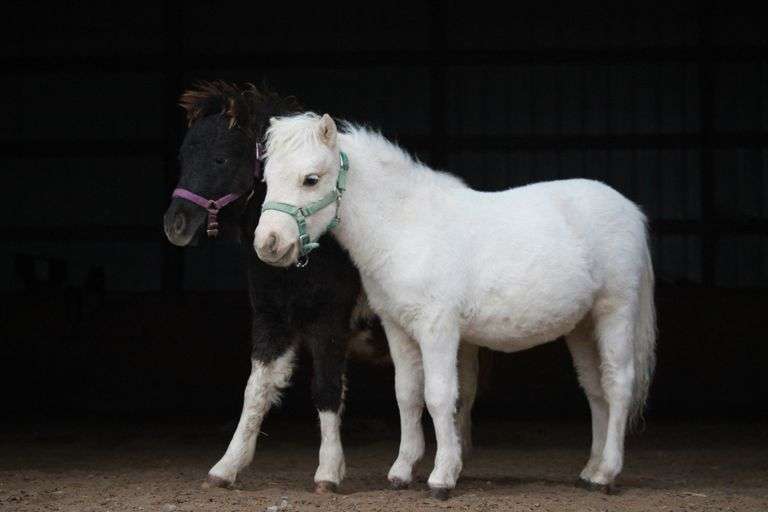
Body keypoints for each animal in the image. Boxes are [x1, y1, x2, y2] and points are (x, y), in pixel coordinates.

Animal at [162, 83, 480, 494]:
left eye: (221, 159)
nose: (176, 225)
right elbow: (255, 392)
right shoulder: (272, 322)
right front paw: (226, 467)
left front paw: (328, 472)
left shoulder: (329, 324)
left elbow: (326, 390)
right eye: (184, 156)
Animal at [254, 112, 657, 500]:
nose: (268, 244)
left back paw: (606, 474)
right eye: (268, 179)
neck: (406, 228)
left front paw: (442, 478)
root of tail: (630, 210)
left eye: (310, 179)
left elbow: (439, 395)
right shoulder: (397, 328)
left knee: (618, 384)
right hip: (583, 326)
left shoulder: (438, 328)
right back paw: (591, 470)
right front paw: (402, 471)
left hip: (614, 312)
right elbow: (407, 394)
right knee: (595, 390)